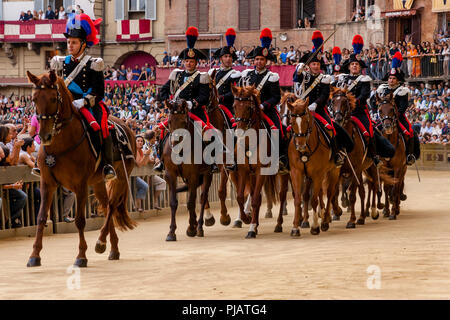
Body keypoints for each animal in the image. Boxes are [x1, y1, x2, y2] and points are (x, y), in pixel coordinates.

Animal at [25, 70, 135, 268]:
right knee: (106, 206)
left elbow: (80, 220)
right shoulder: (47, 183)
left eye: (53, 98)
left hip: (121, 177)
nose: (44, 136)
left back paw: (101, 241)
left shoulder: (81, 185)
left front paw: (81, 256)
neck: (60, 146)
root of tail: (126, 127)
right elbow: (41, 217)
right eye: (34, 98)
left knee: (112, 207)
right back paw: (112, 248)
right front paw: (35, 255)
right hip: (98, 182)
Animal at [230, 85, 280, 238]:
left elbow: (256, 199)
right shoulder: (243, 171)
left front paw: (251, 228)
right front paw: (246, 219)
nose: (239, 132)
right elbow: (240, 197)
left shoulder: (260, 171)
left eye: (248, 107)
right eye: (234, 106)